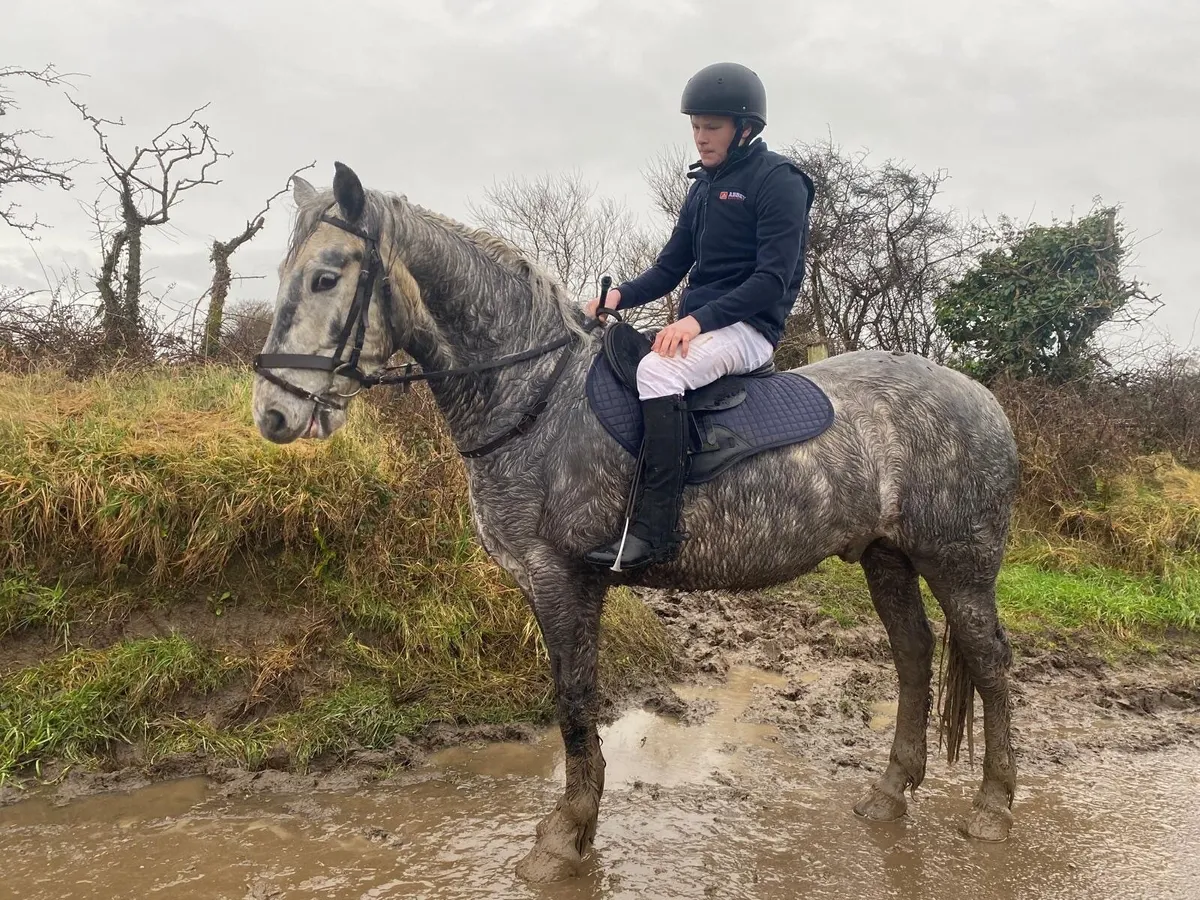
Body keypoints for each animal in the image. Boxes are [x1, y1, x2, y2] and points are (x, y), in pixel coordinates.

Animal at [250, 162, 1020, 883]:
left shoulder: (560, 578)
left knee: (988, 663)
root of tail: (983, 398)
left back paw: (993, 808)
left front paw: (566, 838)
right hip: (887, 555)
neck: (537, 394)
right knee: (914, 656)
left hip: (959, 564)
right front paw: (573, 825)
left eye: (325, 278)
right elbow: (574, 698)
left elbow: (574, 701)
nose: (275, 415)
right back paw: (889, 794)